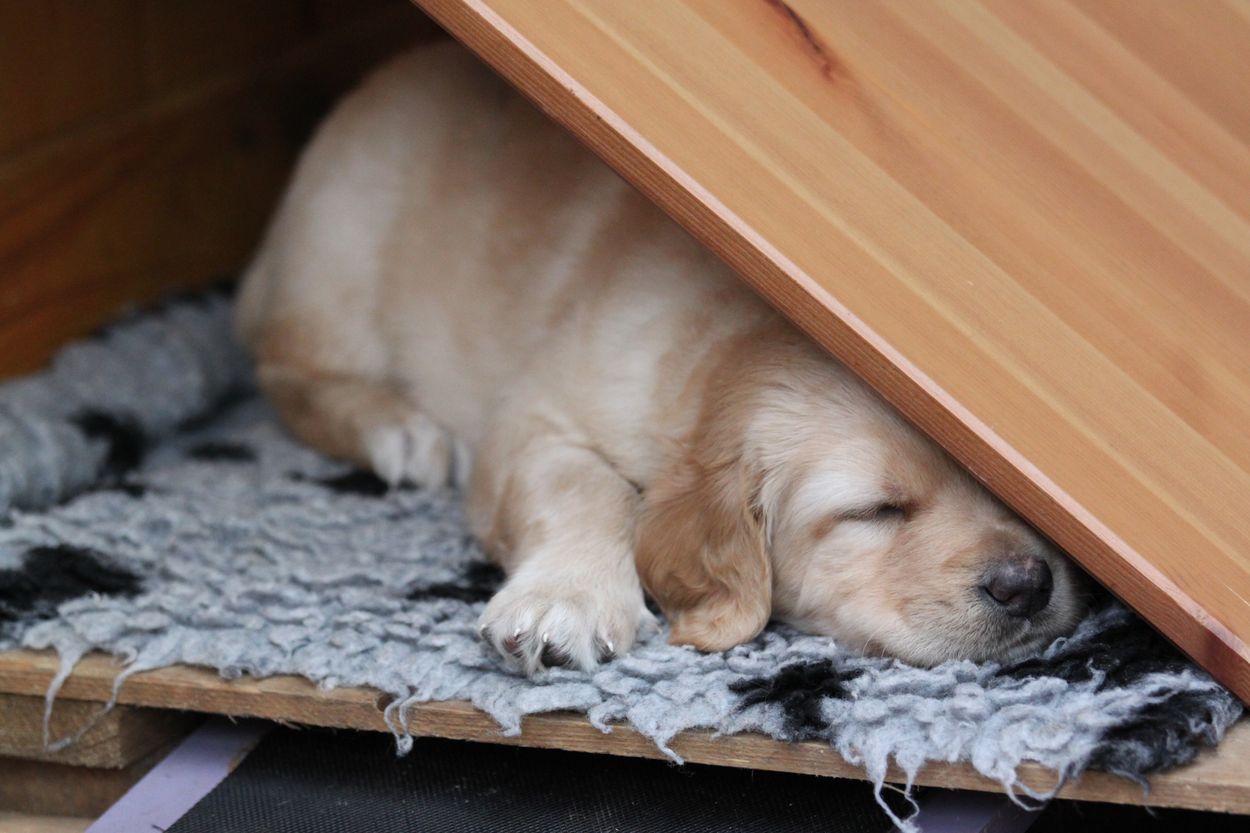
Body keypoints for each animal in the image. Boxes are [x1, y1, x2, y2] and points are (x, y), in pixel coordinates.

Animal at [237, 42, 1086, 674]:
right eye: (876, 511)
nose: (1028, 584)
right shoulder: (535, 419)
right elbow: (591, 488)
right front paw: (567, 598)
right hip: (341, 247)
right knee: (282, 369)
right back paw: (397, 427)